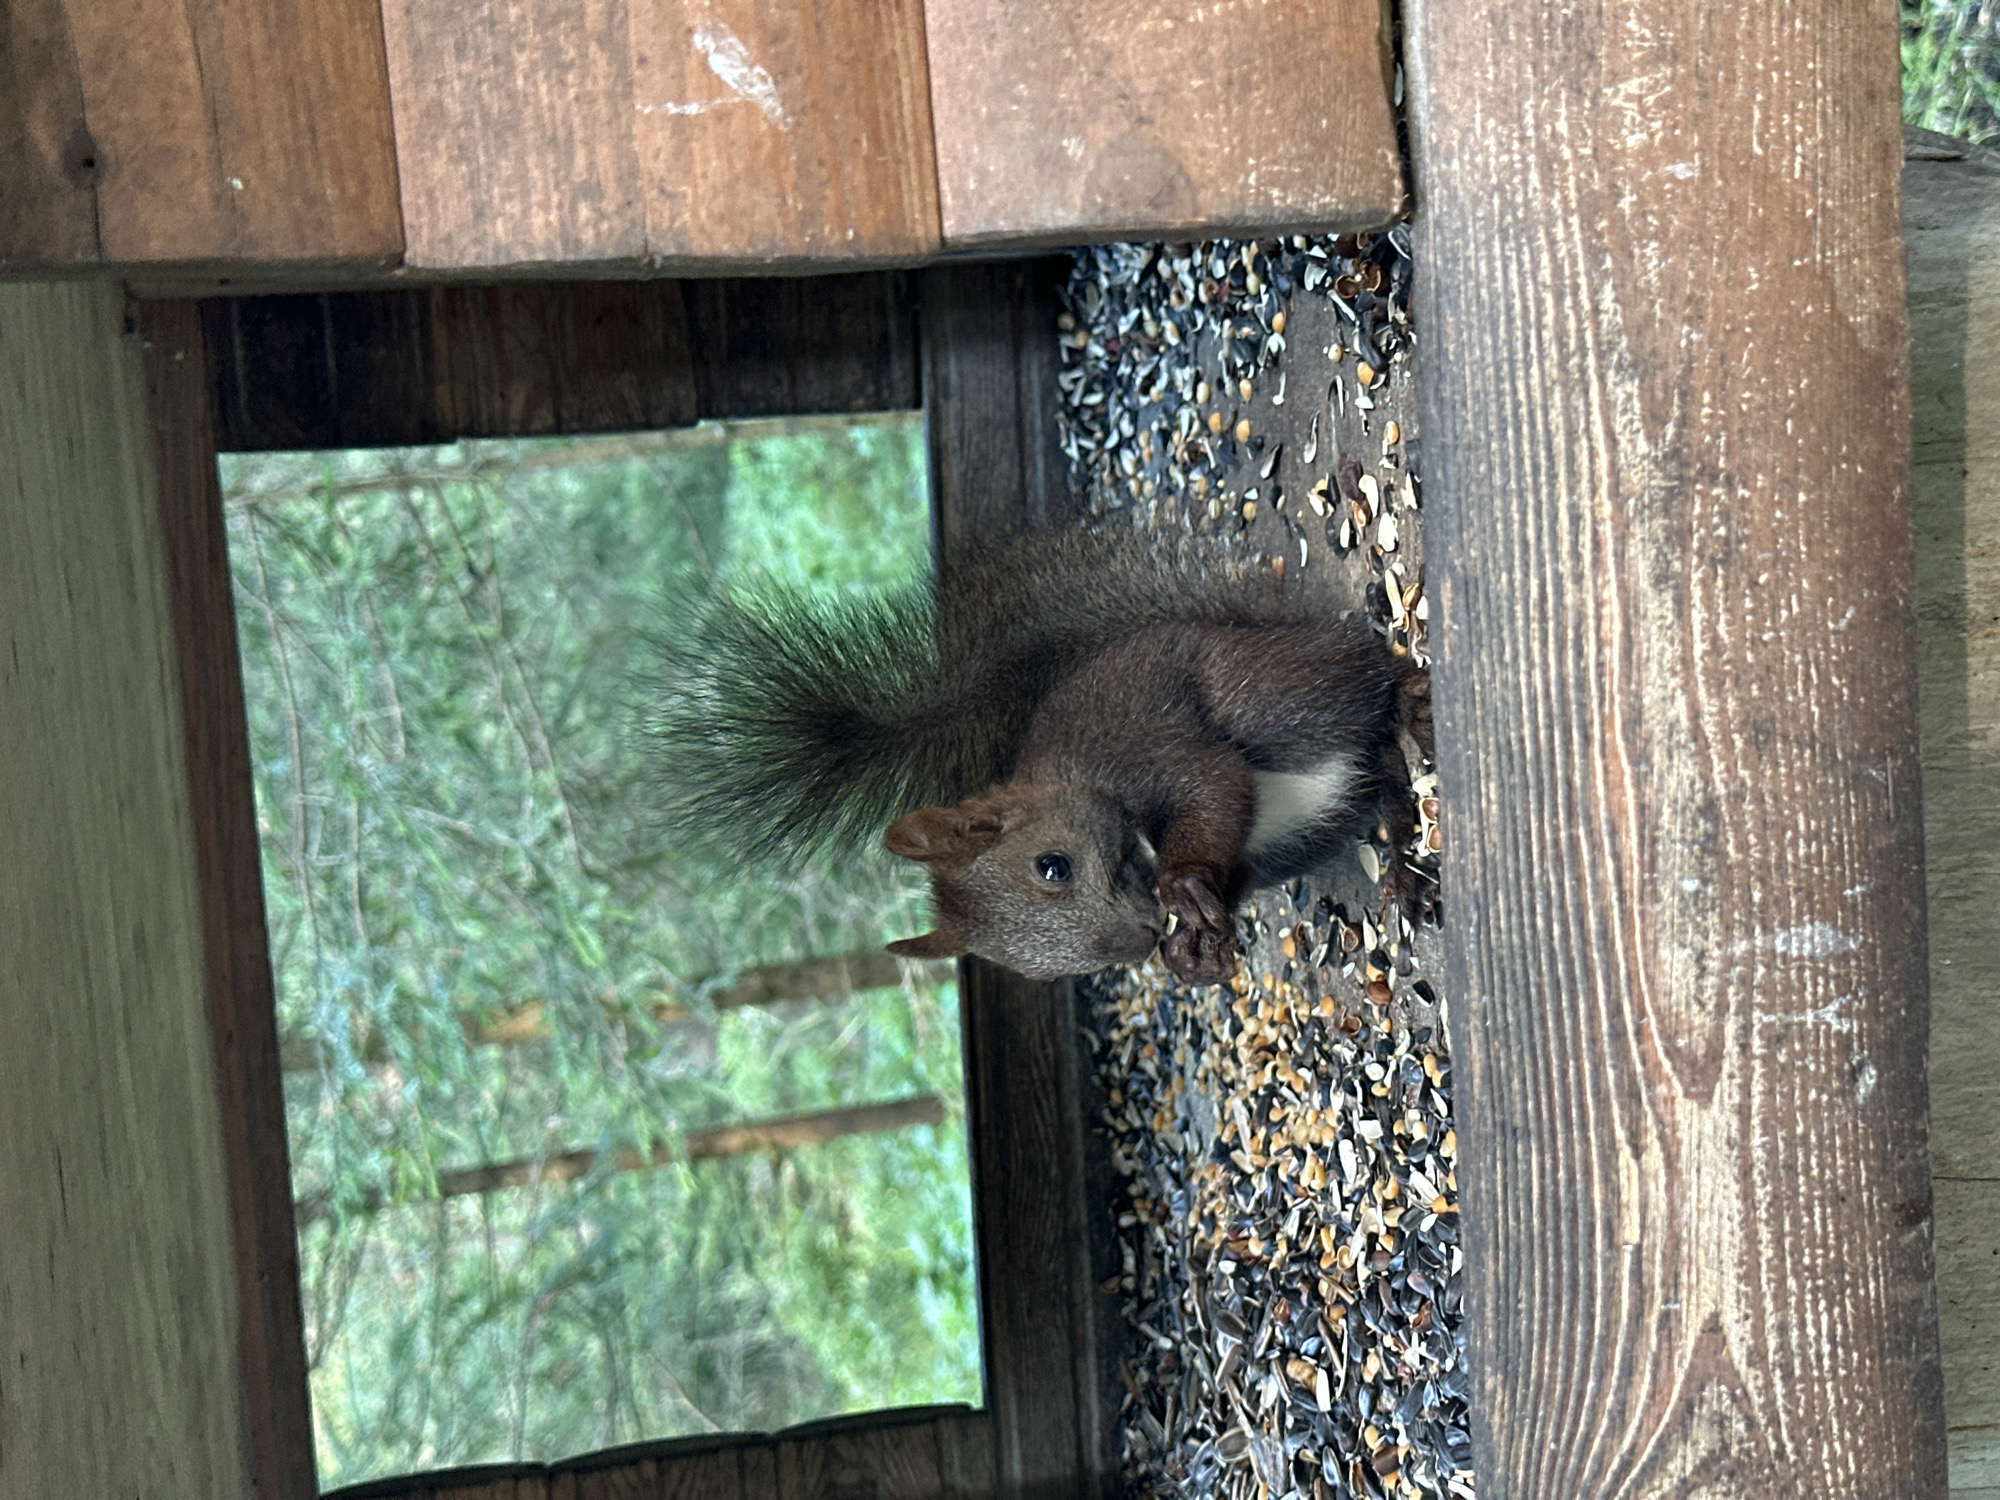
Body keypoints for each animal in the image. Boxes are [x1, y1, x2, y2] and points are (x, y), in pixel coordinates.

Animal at [643, 529, 1428, 984]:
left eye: (1053, 866)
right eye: (1041, 973)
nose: (1144, 936)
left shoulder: (1141, 747)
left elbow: (1211, 786)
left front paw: (1182, 886)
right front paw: (1191, 951)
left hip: (1264, 696)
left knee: (1366, 693)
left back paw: (1407, 705)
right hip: (1299, 833)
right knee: (1379, 765)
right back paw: (1400, 852)